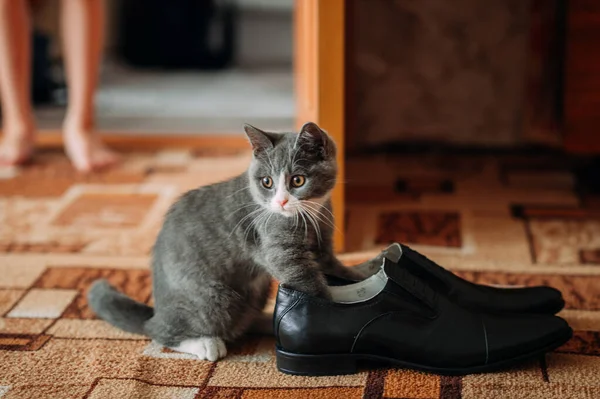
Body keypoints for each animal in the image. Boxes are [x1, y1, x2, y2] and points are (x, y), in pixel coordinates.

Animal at [86, 122, 364, 362]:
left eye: (297, 180)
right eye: (267, 182)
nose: (281, 202)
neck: (308, 215)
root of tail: (158, 308)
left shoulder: (321, 242)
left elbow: (333, 267)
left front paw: (361, 274)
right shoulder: (278, 247)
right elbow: (308, 283)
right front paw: (329, 321)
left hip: (255, 290)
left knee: (244, 321)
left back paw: (266, 321)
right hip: (214, 297)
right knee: (158, 329)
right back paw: (206, 343)